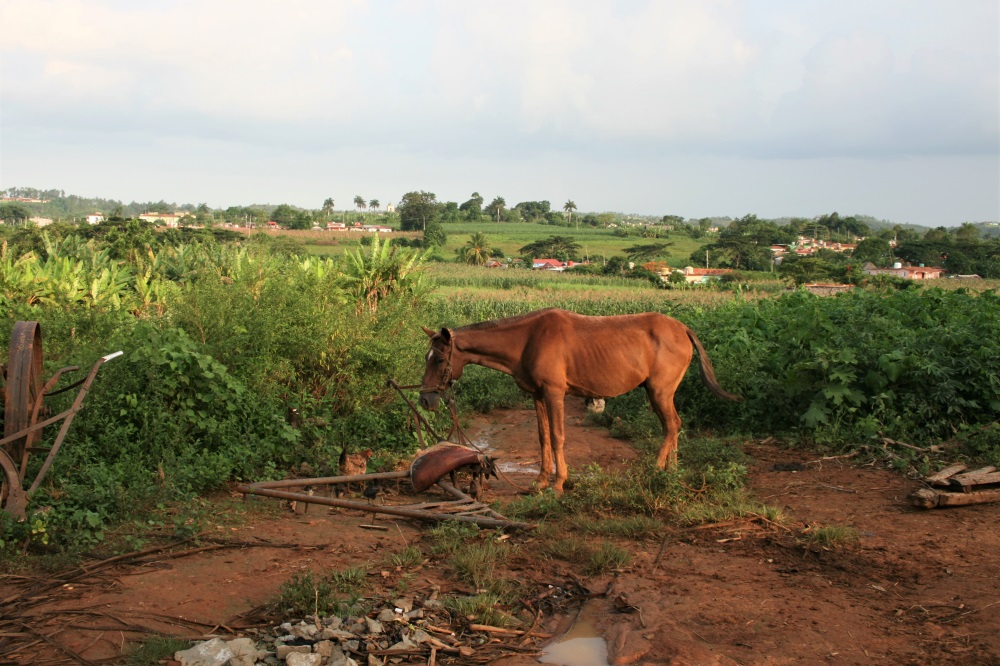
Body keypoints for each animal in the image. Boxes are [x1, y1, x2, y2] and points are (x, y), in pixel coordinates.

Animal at [418, 308, 740, 493]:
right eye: (427, 357)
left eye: (439, 360)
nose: (425, 399)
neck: (527, 339)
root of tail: (683, 328)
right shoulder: (537, 396)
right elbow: (543, 437)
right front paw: (540, 481)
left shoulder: (554, 393)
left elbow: (558, 437)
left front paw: (559, 483)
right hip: (659, 393)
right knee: (673, 426)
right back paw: (671, 470)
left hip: (659, 392)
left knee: (671, 425)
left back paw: (657, 470)